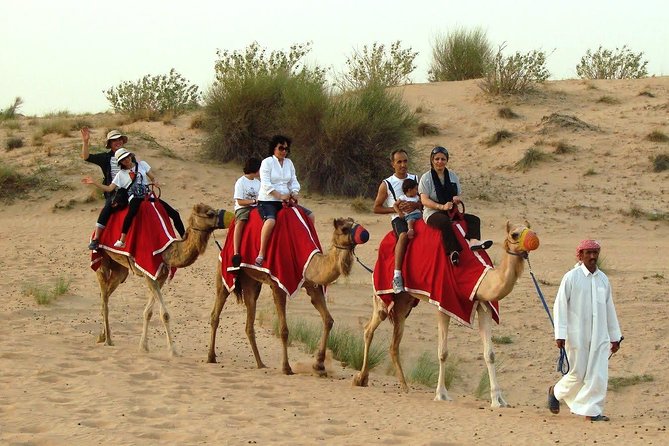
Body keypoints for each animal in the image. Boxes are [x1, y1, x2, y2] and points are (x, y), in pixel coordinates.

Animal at [94, 203, 229, 356]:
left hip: (120, 270)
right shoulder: (149, 274)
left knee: (106, 293)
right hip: (102, 260)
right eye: (210, 214)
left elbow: (148, 312)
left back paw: (102, 336)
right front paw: (173, 351)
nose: (227, 217)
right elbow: (164, 314)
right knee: (104, 297)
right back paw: (108, 340)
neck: (166, 251)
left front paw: (143, 346)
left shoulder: (161, 277)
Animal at [208, 217, 367, 376]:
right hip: (224, 271)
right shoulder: (278, 285)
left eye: (354, 223)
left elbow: (328, 320)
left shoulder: (312, 285)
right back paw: (211, 357)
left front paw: (319, 366)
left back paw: (260, 364)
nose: (365, 234)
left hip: (251, 281)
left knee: (249, 321)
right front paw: (286, 368)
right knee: (216, 311)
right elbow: (284, 330)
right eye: (344, 229)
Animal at [353, 221, 540, 408]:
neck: (477, 276)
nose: (534, 240)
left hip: (404, 302)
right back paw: (360, 378)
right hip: (383, 293)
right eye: (515, 234)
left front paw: (498, 400)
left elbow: (490, 354)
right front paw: (441, 394)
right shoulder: (443, 303)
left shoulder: (484, 304)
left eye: (531, 230)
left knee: (394, 343)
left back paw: (404, 386)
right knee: (369, 328)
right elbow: (443, 352)